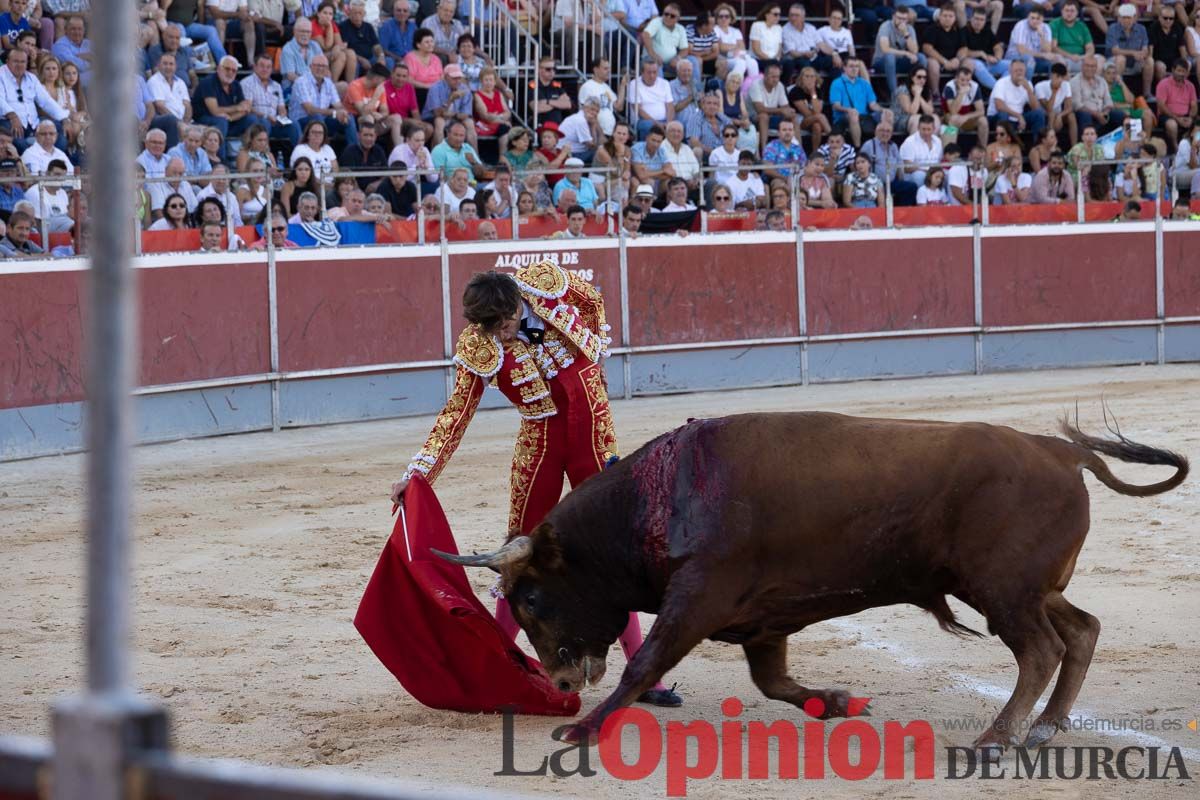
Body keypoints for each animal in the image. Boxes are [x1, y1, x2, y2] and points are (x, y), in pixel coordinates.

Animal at [436, 412, 1185, 753]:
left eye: (532, 597)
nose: (560, 680)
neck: (661, 498)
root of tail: (1061, 451)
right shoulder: (760, 621)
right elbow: (773, 681)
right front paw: (839, 702)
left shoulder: (698, 597)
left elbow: (645, 662)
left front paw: (585, 730)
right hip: (1029, 589)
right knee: (1080, 631)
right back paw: (1045, 728)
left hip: (1003, 591)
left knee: (1041, 649)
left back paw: (998, 738)